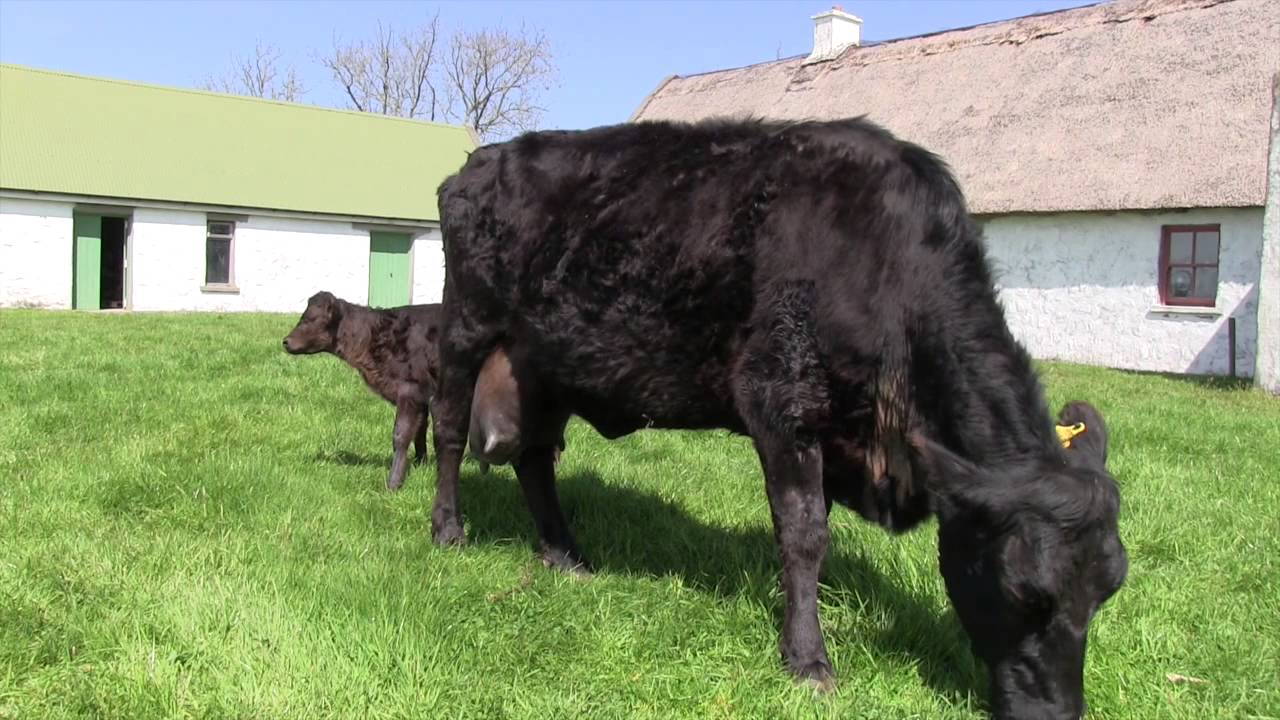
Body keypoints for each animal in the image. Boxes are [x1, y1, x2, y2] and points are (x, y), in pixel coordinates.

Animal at [428, 117, 1128, 719]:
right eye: (1023, 592)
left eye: (1108, 590)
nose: (1056, 713)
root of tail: (480, 161)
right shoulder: (781, 402)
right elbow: (804, 535)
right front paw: (808, 657)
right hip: (464, 328)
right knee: (451, 431)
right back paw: (449, 530)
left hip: (546, 365)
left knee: (534, 458)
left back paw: (564, 552)